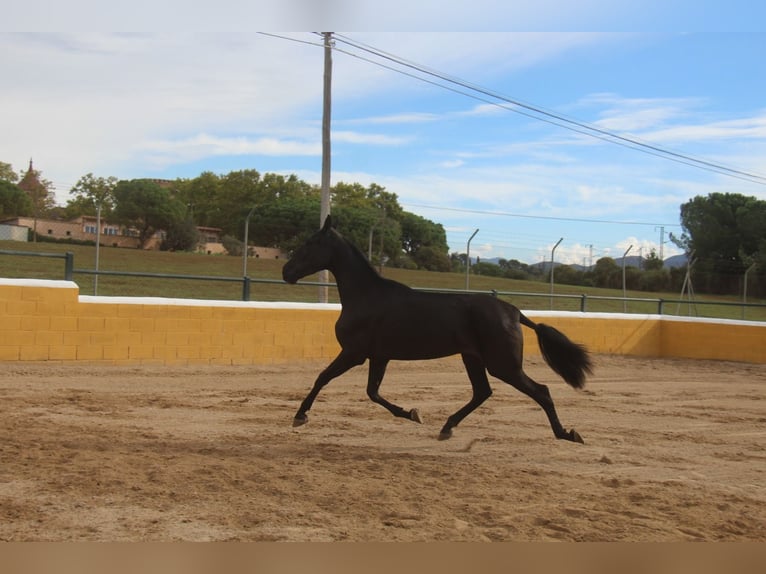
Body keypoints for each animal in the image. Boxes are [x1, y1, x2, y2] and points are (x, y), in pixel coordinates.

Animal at [282, 218, 592, 444]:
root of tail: (514, 312)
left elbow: (323, 378)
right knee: (482, 392)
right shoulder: (378, 356)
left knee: (541, 391)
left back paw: (567, 434)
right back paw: (446, 427)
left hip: (503, 365)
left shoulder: (354, 353)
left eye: (311, 243)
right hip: (473, 358)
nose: (286, 272)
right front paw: (412, 413)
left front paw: (300, 416)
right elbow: (373, 392)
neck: (366, 295)